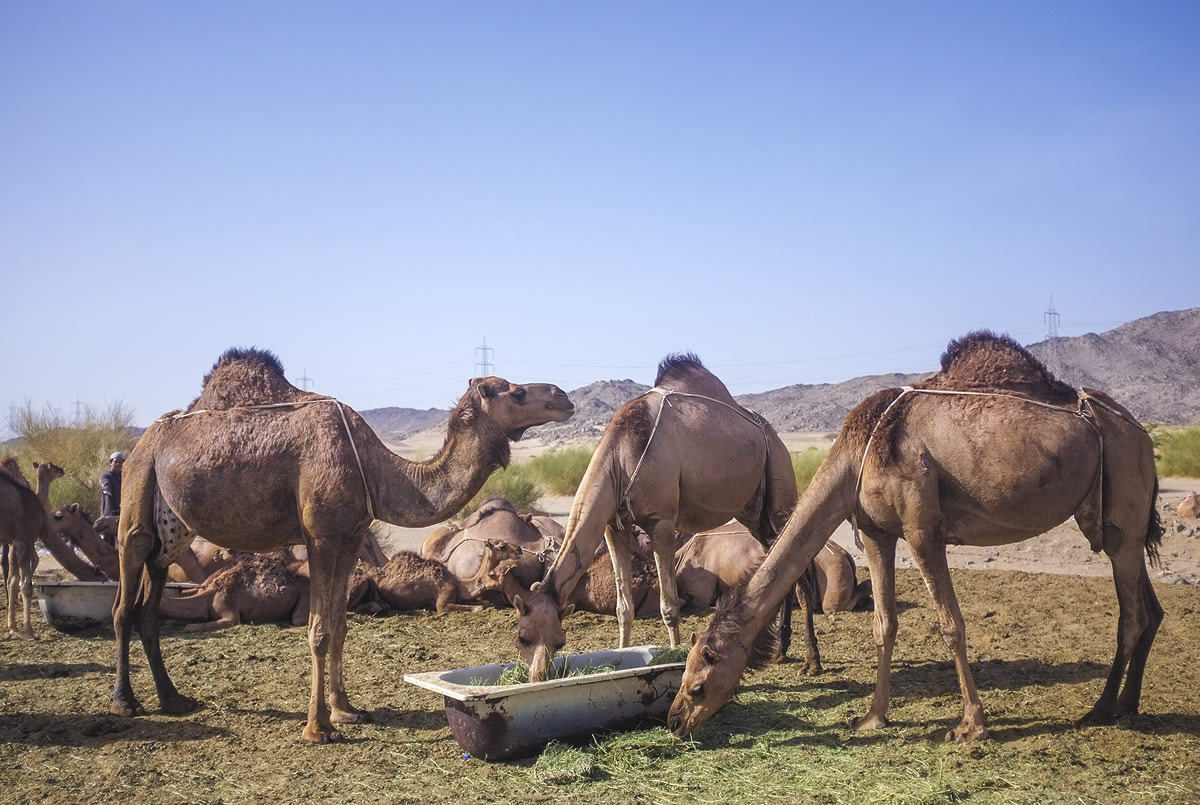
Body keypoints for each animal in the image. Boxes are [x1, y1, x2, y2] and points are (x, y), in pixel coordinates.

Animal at [667, 331, 1161, 743]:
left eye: (697, 687)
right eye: (685, 680)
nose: (674, 721)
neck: (856, 454)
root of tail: (1138, 429)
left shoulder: (923, 529)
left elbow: (951, 625)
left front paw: (971, 727)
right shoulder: (876, 533)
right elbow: (884, 623)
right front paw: (872, 718)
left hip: (1124, 505)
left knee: (1131, 615)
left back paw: (1101, 710)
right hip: (1120, 527)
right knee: (1149, 609)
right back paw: (1129, 705)